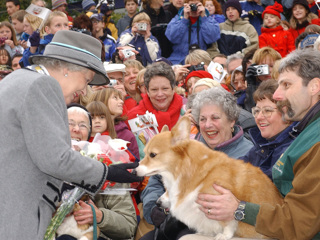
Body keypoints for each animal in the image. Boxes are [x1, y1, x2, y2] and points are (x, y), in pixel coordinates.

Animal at [135, 116, 282, 238]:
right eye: (145, 153)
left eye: (153, 154)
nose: (134, 171)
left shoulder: (222, 204)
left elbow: (229, 223)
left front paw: (224, 235)